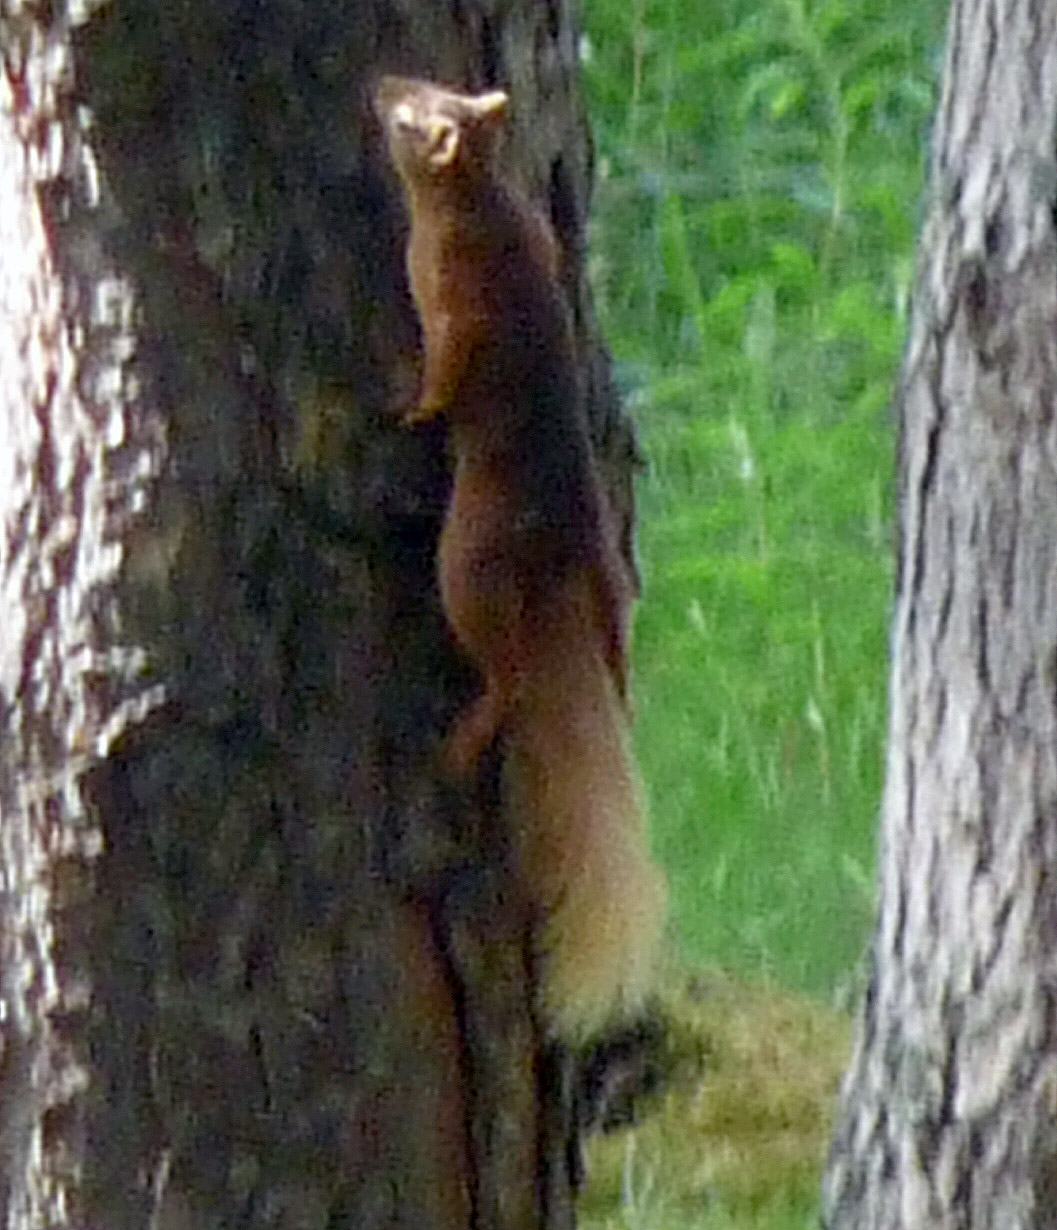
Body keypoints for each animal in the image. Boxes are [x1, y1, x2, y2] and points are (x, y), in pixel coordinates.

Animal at [374, 75, 665, 1039]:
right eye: (432, 88)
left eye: (410, 118)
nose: (379, 84)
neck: (480, 200)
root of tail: (562, 561)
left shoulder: (450, 295)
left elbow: (443, 365)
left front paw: (406, 401)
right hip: (611, 604)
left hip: (464, 569)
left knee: (502, 681)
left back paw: (461, 743)